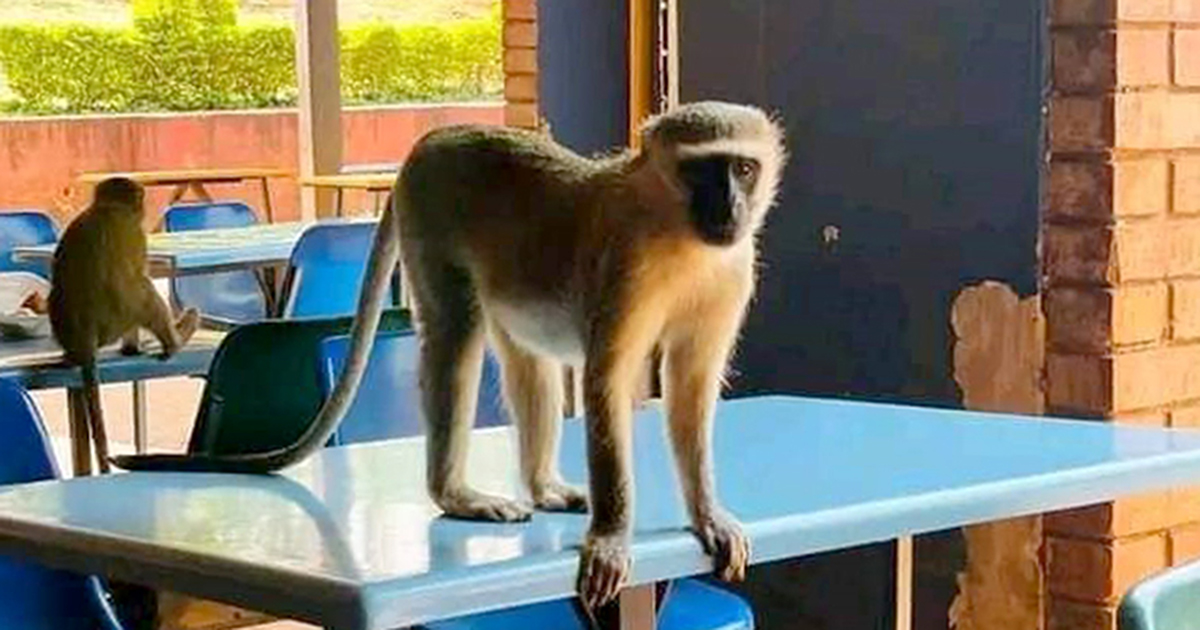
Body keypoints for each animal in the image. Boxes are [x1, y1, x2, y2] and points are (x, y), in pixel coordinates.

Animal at [49, 177, 201, 474]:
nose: (143, 208)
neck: (108, 207)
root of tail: (85, 335)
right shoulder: (136, 233)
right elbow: (137, 277)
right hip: (116, 321)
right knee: (143, 290)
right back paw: (173, 342)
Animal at [112, 101, 787, 611]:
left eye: (742, 169)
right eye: (702, 173)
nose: (729, 210)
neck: (677, 232)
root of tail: (434, 138)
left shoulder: (731, 273)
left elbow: (691, 387)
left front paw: (709, 516)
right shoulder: (627, 266)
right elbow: (606, 380)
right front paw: (612, 537)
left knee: (527, 363)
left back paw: (541, 487)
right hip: (432, 227)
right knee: (456, 339)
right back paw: (454, 494)